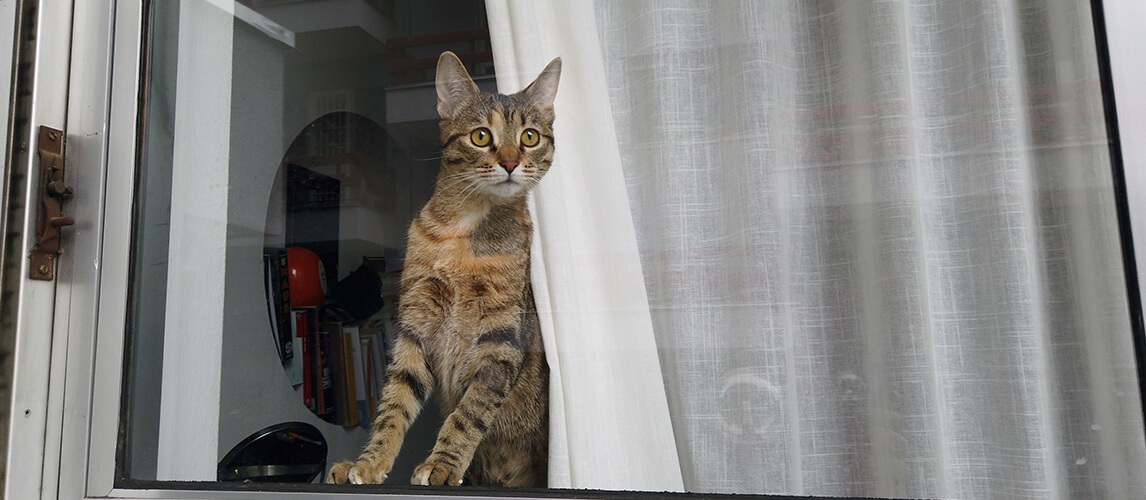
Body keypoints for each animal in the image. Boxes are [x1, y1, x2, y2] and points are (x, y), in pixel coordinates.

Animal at [325, 51, 561, 488]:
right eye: (481, 136)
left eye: (530, 137)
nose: (510, 162)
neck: (459, 234)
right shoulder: (415, 326)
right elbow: (394, 403)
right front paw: (368, 463)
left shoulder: (500, 340)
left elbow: (469, 412)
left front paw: (442, 464)